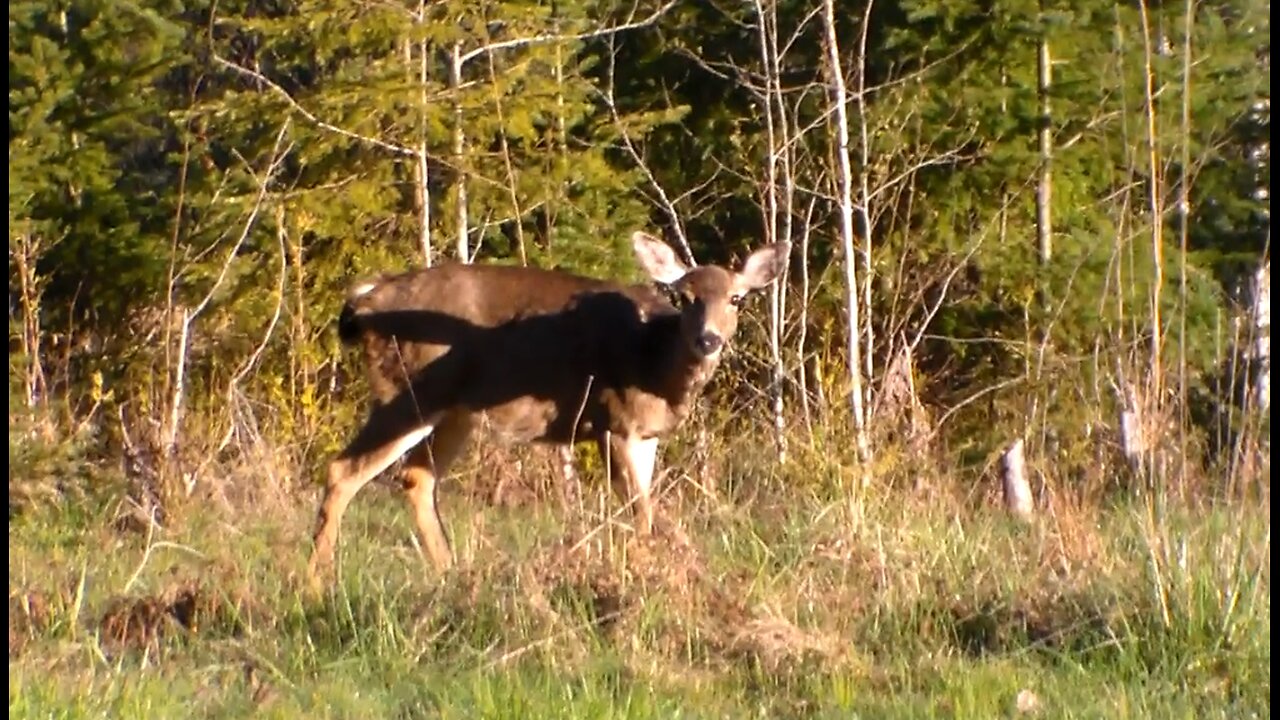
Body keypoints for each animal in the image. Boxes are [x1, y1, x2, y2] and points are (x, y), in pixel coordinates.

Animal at [308, 229, 788, 584]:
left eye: (737, 298)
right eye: (685, 298)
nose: (708, 339)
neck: (652, 360)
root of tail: (366, 301)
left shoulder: (646, 434)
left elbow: (646, 507)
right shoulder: (613, 421)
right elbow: (640, 511)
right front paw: (645, 576)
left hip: (455, 411)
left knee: (416, 478)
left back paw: (450, 574)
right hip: (409, 390)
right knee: (344, 470)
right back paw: (317, 583)